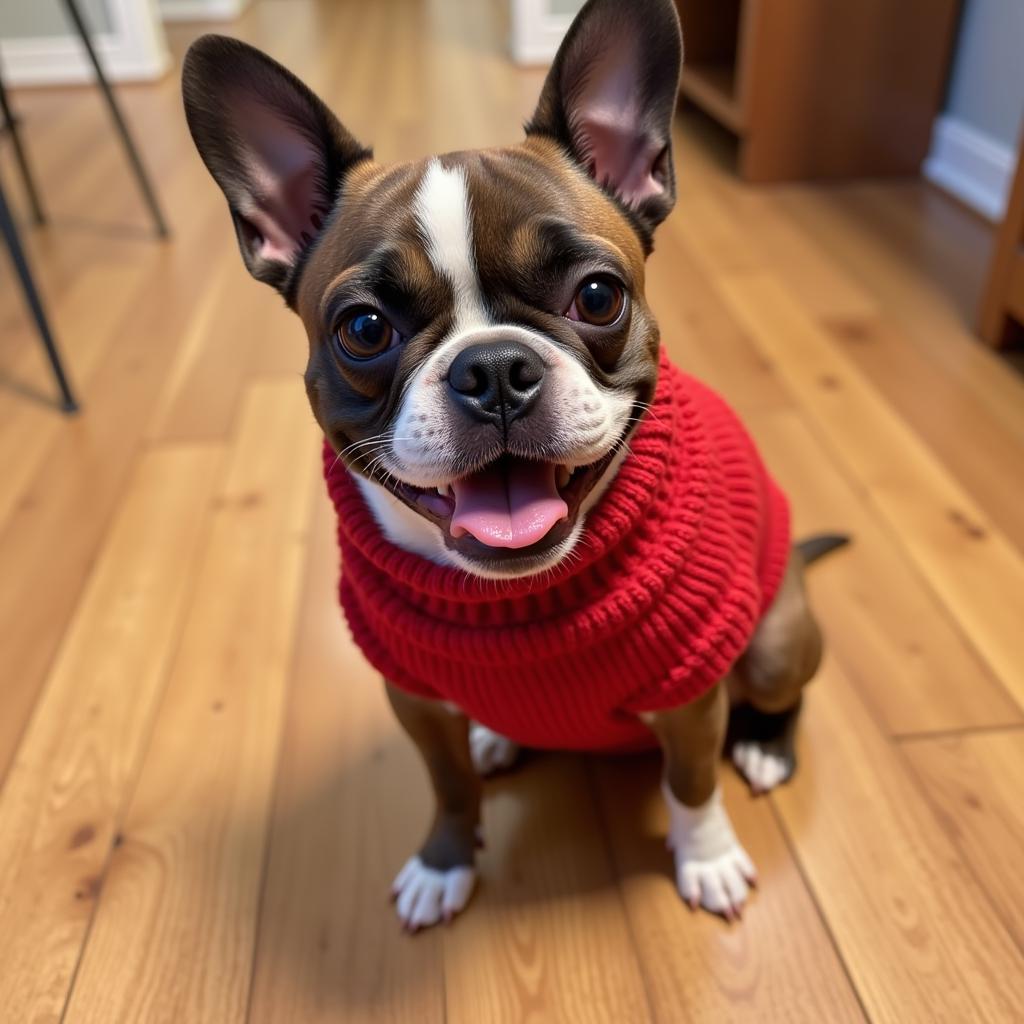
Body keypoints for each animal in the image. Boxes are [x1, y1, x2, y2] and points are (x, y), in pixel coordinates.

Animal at [184, 0, 847, 933]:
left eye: (599, 296)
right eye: (363, 329)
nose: (493, 368)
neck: (516, 597)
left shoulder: (691, 696)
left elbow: (690, 783)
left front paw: (707, 857)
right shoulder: (416, 701)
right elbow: (448, 785)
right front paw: (443, 861)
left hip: (777, 641)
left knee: (783, 692)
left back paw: (764, 747)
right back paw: (498, 734)